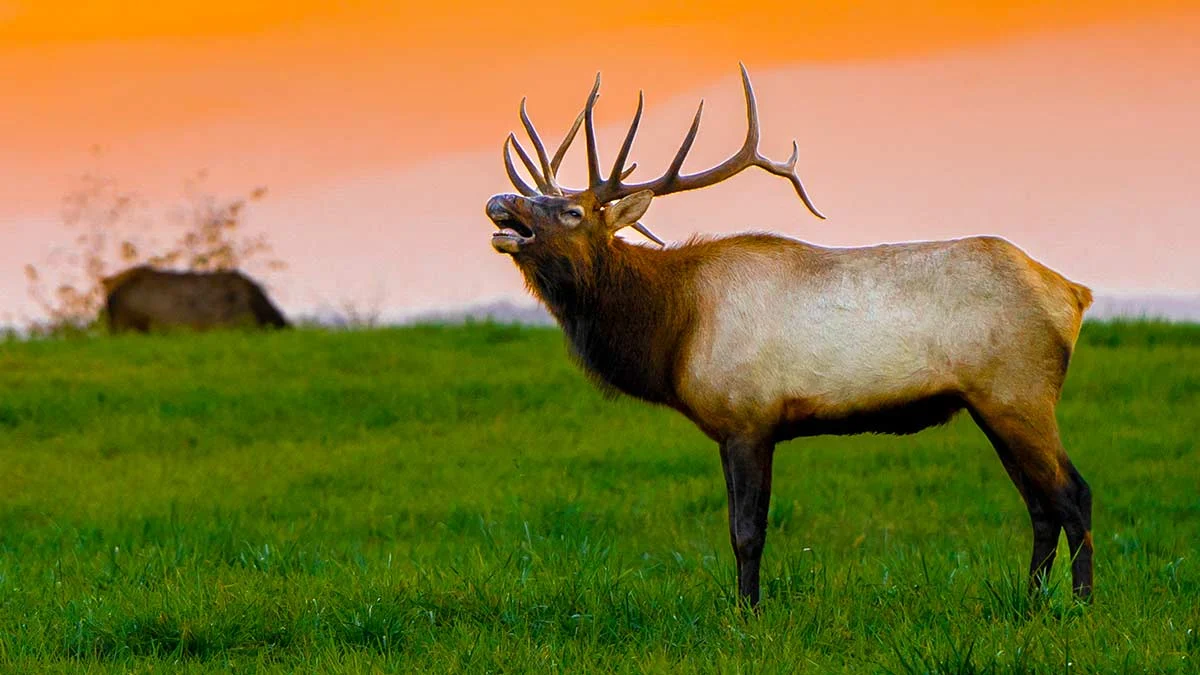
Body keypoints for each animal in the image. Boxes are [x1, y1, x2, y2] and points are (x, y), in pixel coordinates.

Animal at [485, 65, 1094, 607]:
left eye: (572, 210)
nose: (500, 201)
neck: (673, 329)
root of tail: (1073, 293)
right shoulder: (731, 428)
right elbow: (736, 530)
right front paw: (741, 606)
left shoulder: (750, 418)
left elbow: (747, 533)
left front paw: (749, 613)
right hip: (990, 404)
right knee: (1041, 507)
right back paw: (1032, 601)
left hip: (1018, 395)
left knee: (1073, 494)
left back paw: (1082, 607)